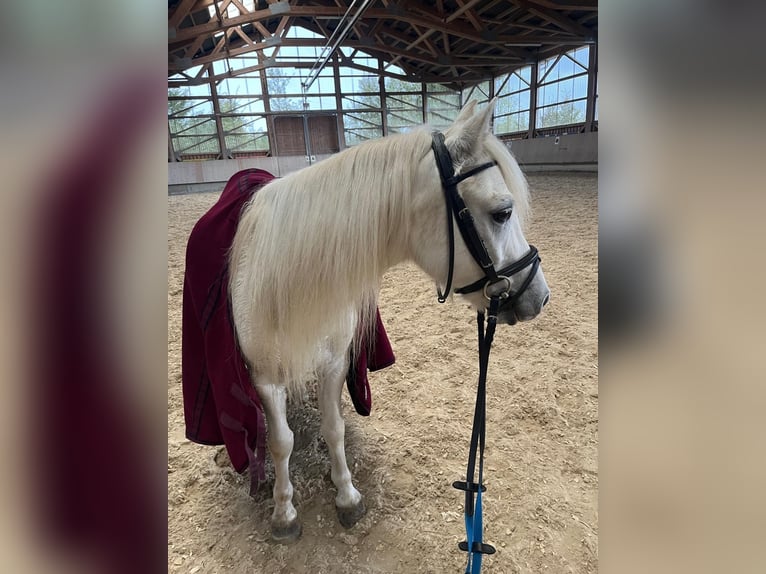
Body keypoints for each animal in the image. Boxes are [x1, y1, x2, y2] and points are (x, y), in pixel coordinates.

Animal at [228, 99, 550, 541]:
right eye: (503, 213)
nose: (540, 295)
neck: (288, 280)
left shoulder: (334, 363)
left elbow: (334, 428)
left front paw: (346, 495)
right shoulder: (264, 377)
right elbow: (280, 441)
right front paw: (284, 512)